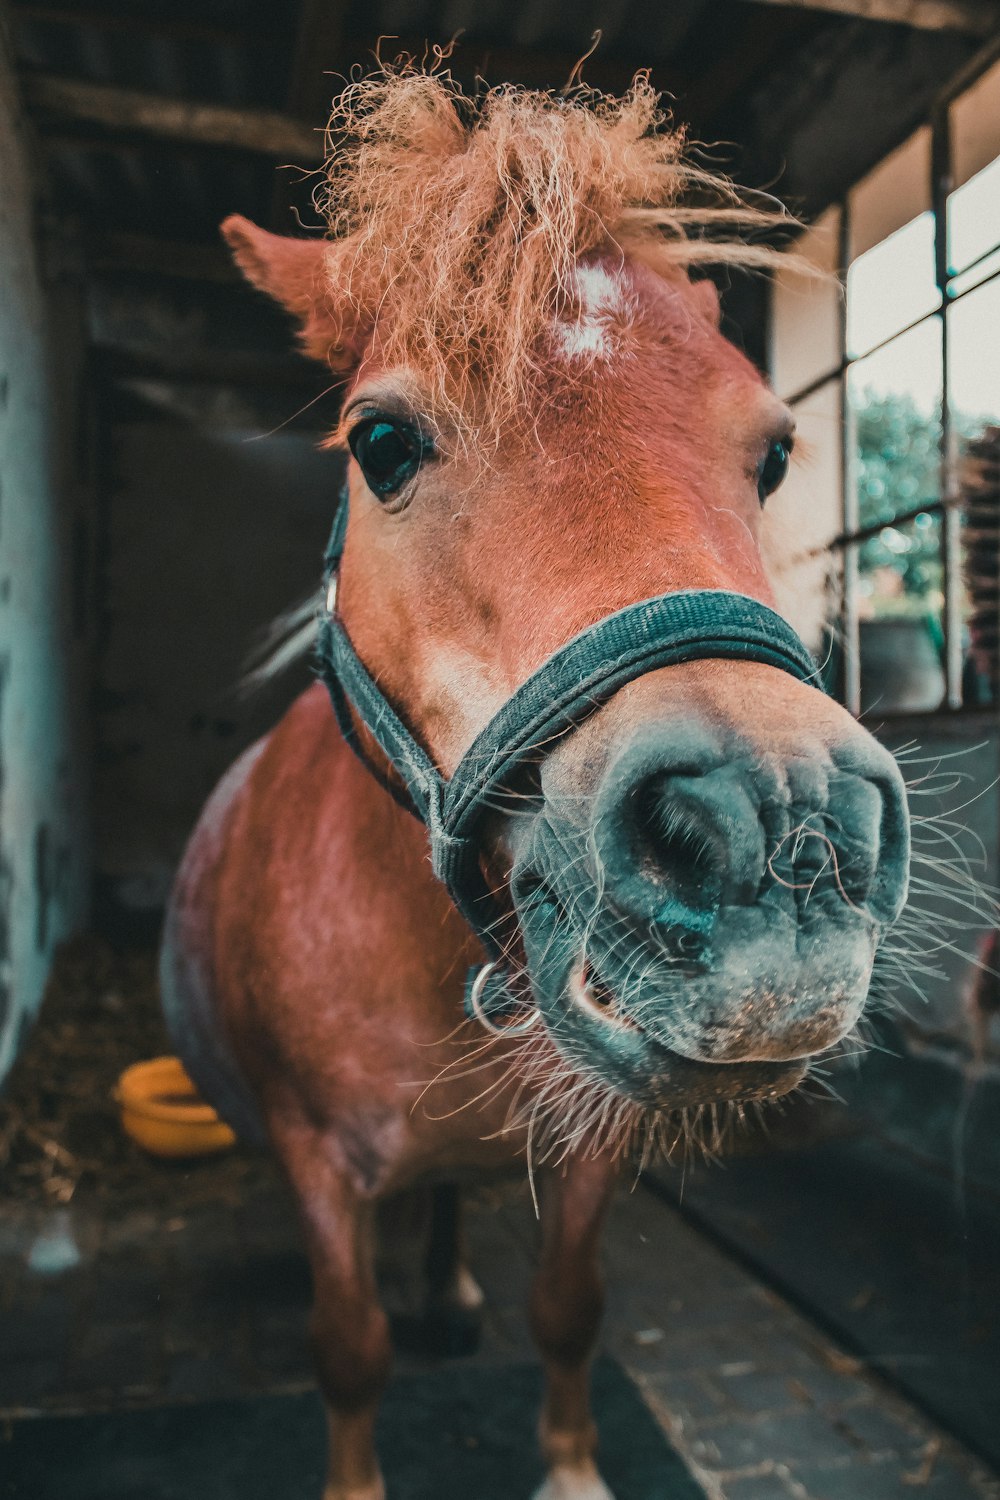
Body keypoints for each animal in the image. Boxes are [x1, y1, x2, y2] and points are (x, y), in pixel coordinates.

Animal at [162, 67, 917, 1500]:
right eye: (381, 441)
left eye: (775, 454)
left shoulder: (586, 1153)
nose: (774, 836)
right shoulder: (316, 1165)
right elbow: (348, 1351)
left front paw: (568, 1468)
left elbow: (568, 1312)